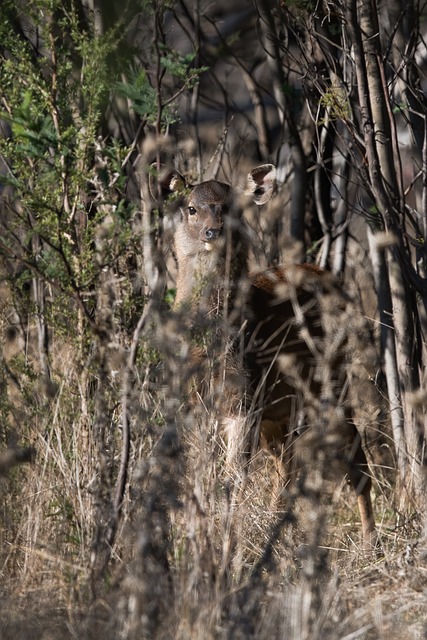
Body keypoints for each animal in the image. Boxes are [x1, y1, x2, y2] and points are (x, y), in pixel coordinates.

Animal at [159, 162, 376, 548]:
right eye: (191, 207)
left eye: (232, 207)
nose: (214, 231)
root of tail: (332, 280)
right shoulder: (190, 403)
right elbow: (199, 473)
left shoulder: (245, 400)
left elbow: (233, 478)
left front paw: (226, 542)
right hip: (281, 410)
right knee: (288, 469)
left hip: (330, 382)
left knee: (355, 454)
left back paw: (369, 543)